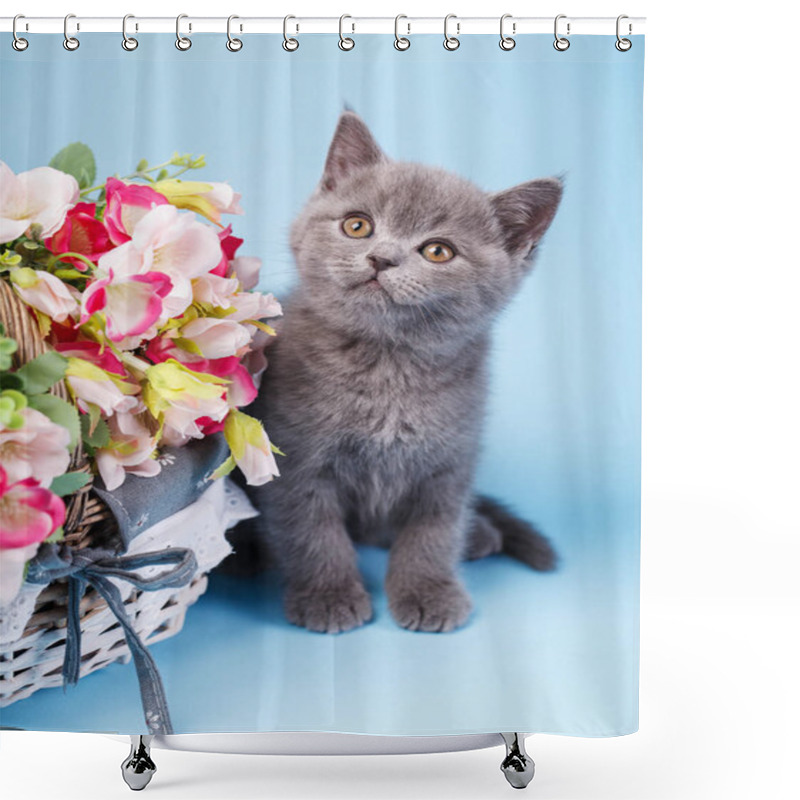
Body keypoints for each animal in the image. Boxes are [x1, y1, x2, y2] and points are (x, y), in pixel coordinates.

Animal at [244, 112, 564, 636]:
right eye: (357, 225)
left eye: (438, 252)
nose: (382, 258)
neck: (387, 366)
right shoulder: (296, 461)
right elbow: (313, 532)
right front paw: (329, 596)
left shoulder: (450, 461)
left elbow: (433, 533)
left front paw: (429, 592)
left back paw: (479, 533)